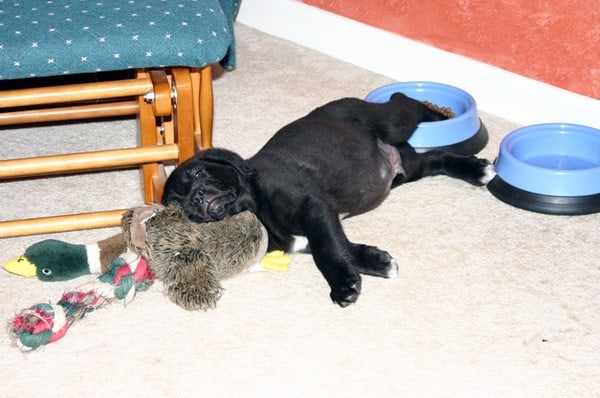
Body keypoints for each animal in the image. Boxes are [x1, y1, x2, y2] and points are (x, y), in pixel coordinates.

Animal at [163, 94, 492, 308]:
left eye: (198, 172)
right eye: (180, 207)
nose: (197, 198)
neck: (257, 208)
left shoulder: (313, 208)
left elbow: (328, 249)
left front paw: (343, 283)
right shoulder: (311, 229)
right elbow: (342, 245)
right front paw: (376, 261)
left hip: (391, 122)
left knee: (403, 101)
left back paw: (441, 115)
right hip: (408, 170)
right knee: (436, 160)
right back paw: (475, 170)